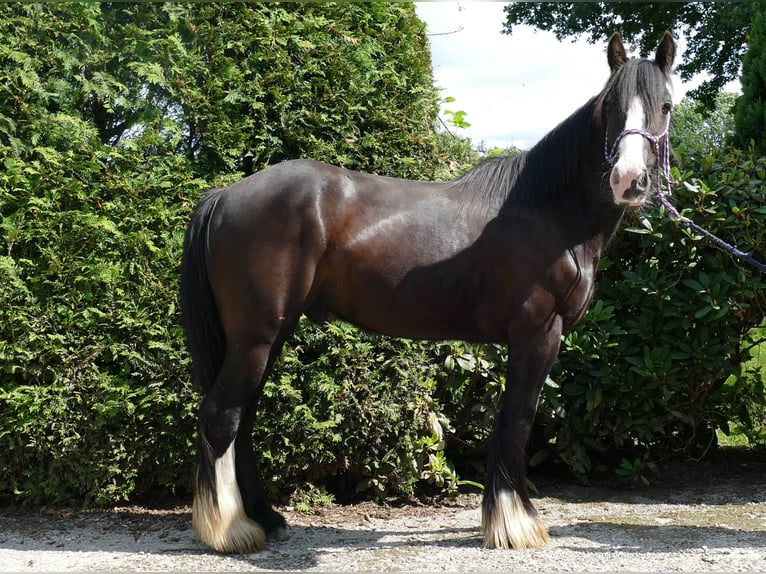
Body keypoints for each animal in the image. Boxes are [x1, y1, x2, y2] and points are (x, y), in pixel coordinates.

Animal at [182, 31, 680, 552]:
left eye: (665, 106)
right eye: (610, 106)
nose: (629, 180)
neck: (548, 210)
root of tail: (223, 196)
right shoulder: (538, 335)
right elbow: (517, 422)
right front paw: (516, 524)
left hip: (266, 337)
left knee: (243, 420)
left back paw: (265, 517)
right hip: (256, 338)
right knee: (221, 415)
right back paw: (231, 531)